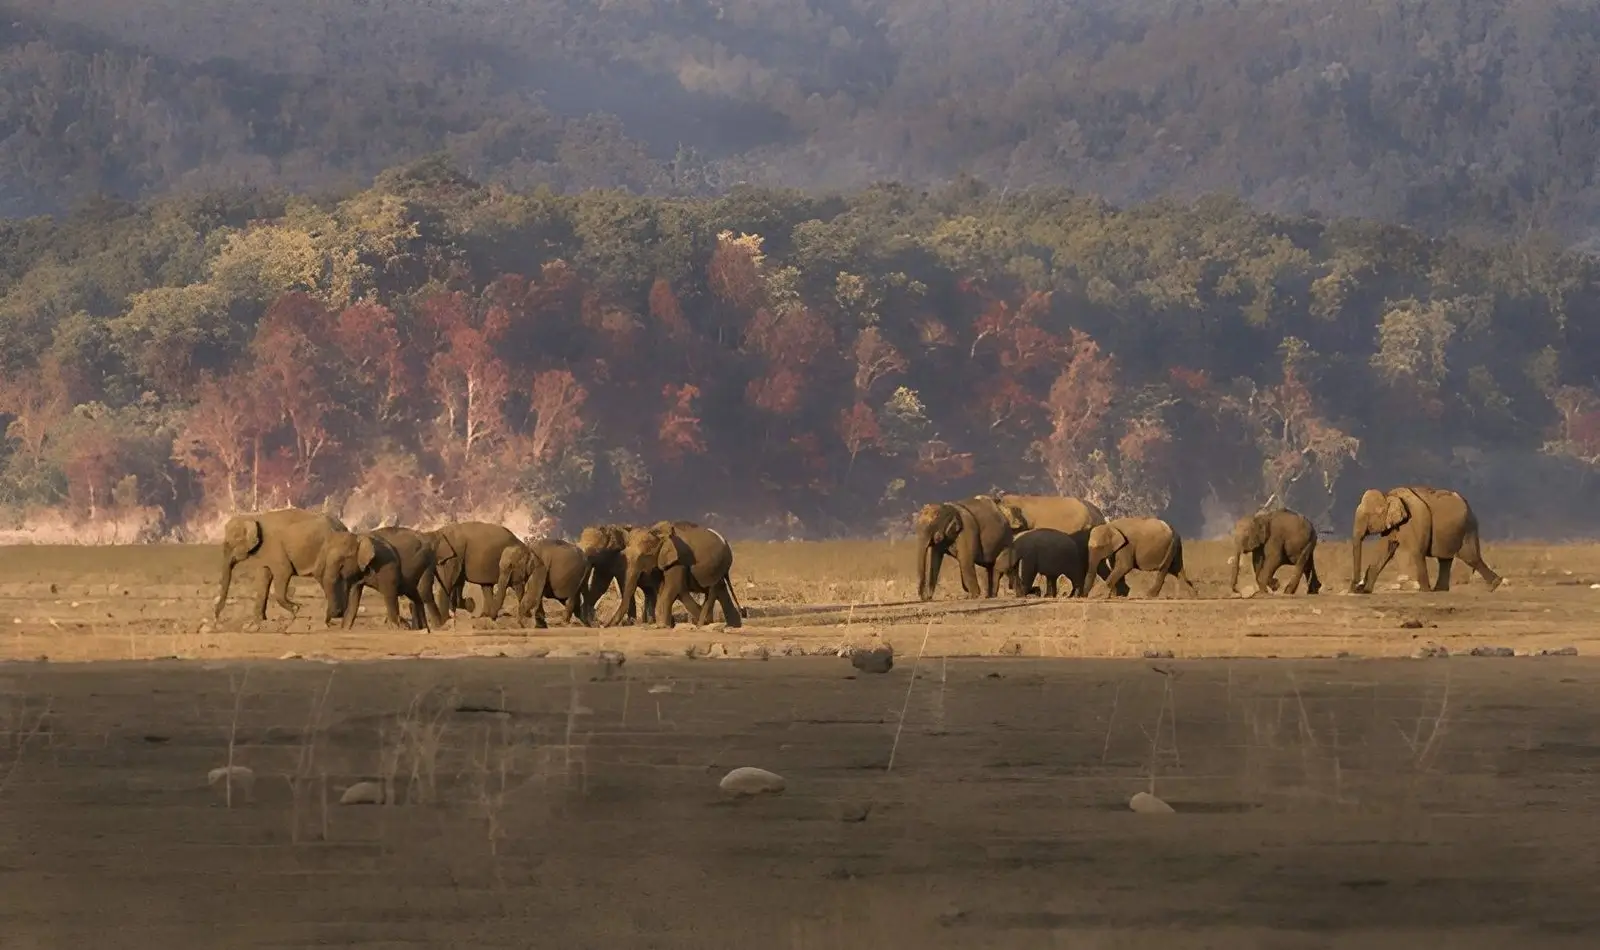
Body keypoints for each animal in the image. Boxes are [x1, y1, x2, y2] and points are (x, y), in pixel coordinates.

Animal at [215, 507, 351, 623]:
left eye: (228, 544)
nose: (216, 617)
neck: (253, 517)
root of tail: (343, 526)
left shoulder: (275, 548)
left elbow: (284, 571)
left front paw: (296, 609)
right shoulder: (264, 552)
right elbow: (264, 576)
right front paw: (259, 621)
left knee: (324, 577)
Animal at [604, 521, 743, 629]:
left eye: (645, 556)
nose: (605, 625)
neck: (657, 532)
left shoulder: (677, 560)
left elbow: (672, 588)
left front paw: (662, 626)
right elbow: (664, 589)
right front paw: (666, 625)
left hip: (716, 568)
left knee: (716, 588)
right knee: (720, 590)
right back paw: (731, 625)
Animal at [1350, 486, 1502, 594]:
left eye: (1368, 516)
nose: (1356, 587)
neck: (1389, 496)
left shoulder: (1415, 519)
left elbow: (1416, 552)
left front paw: (1424, 591)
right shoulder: (1392, 525)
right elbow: (1385, 550)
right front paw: (1366, 591)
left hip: (1467, 528)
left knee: (1469, 557)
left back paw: (1494, 585)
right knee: (1446, 559)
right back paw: (1440, 590)